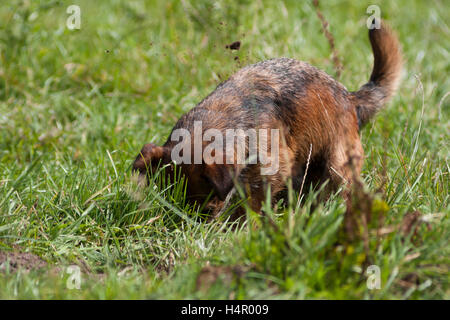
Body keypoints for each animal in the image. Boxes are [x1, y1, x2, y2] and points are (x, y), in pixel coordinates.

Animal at [132, 19, 402, 220]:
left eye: (208, 208)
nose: (191, 223)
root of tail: (350, 97)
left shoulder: (272, 168)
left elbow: (251, 200)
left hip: (337, 164)